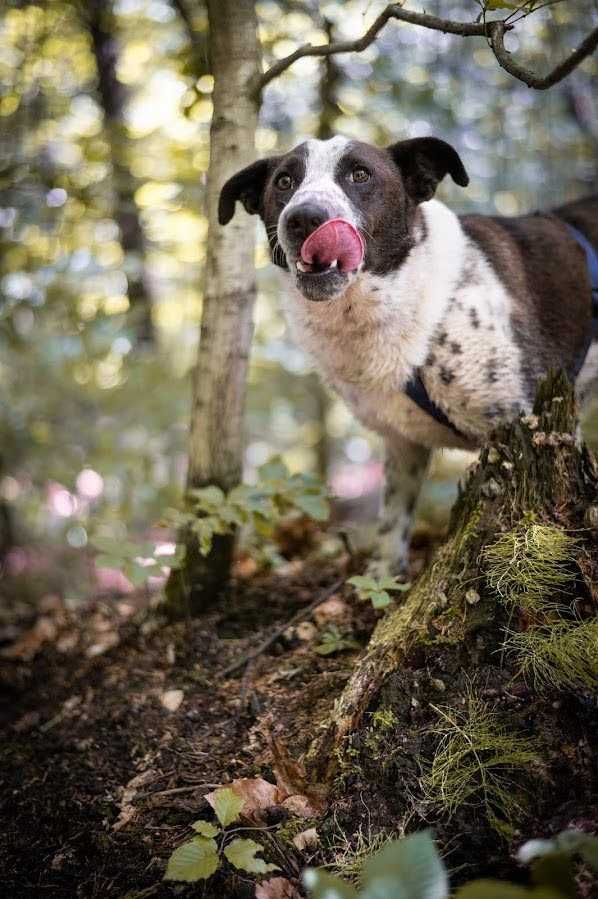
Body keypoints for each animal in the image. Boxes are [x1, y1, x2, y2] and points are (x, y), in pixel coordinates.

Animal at [220, 137, 598, 572]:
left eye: (360, 174)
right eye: (284, 181)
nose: (304, 218)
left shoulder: (527, 424)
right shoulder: (402, 444)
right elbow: (392, 521)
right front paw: (385, 575)